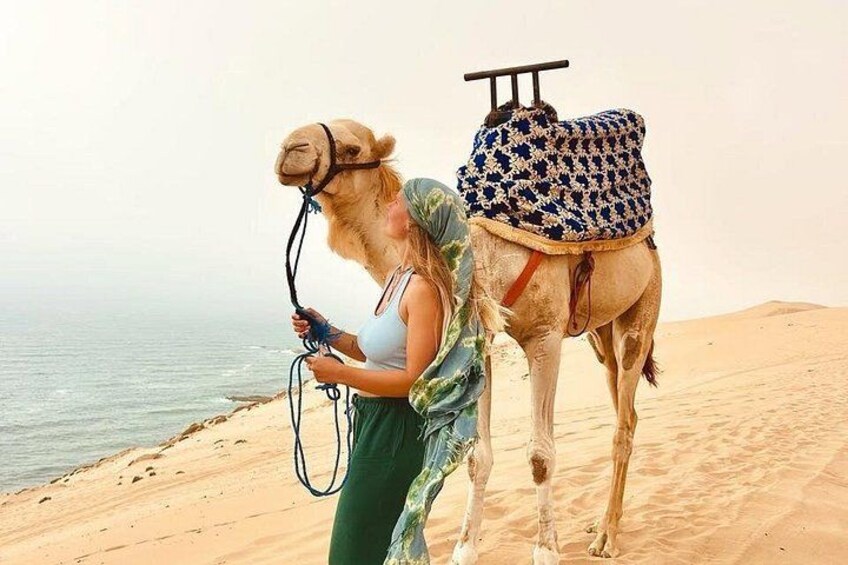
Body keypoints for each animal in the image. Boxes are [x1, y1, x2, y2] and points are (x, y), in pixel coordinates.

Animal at [275, 119, 662, 562]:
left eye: (353, 148)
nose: (290, 149)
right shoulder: (480, 345)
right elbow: (478, 455)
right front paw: (464, 549)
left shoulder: (545, 336)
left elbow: (540, 455)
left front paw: (546, 550)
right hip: (601, 333)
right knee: (626, 409)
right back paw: (600, 525)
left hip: (643, 312)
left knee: (623, 422)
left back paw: (607, 537)